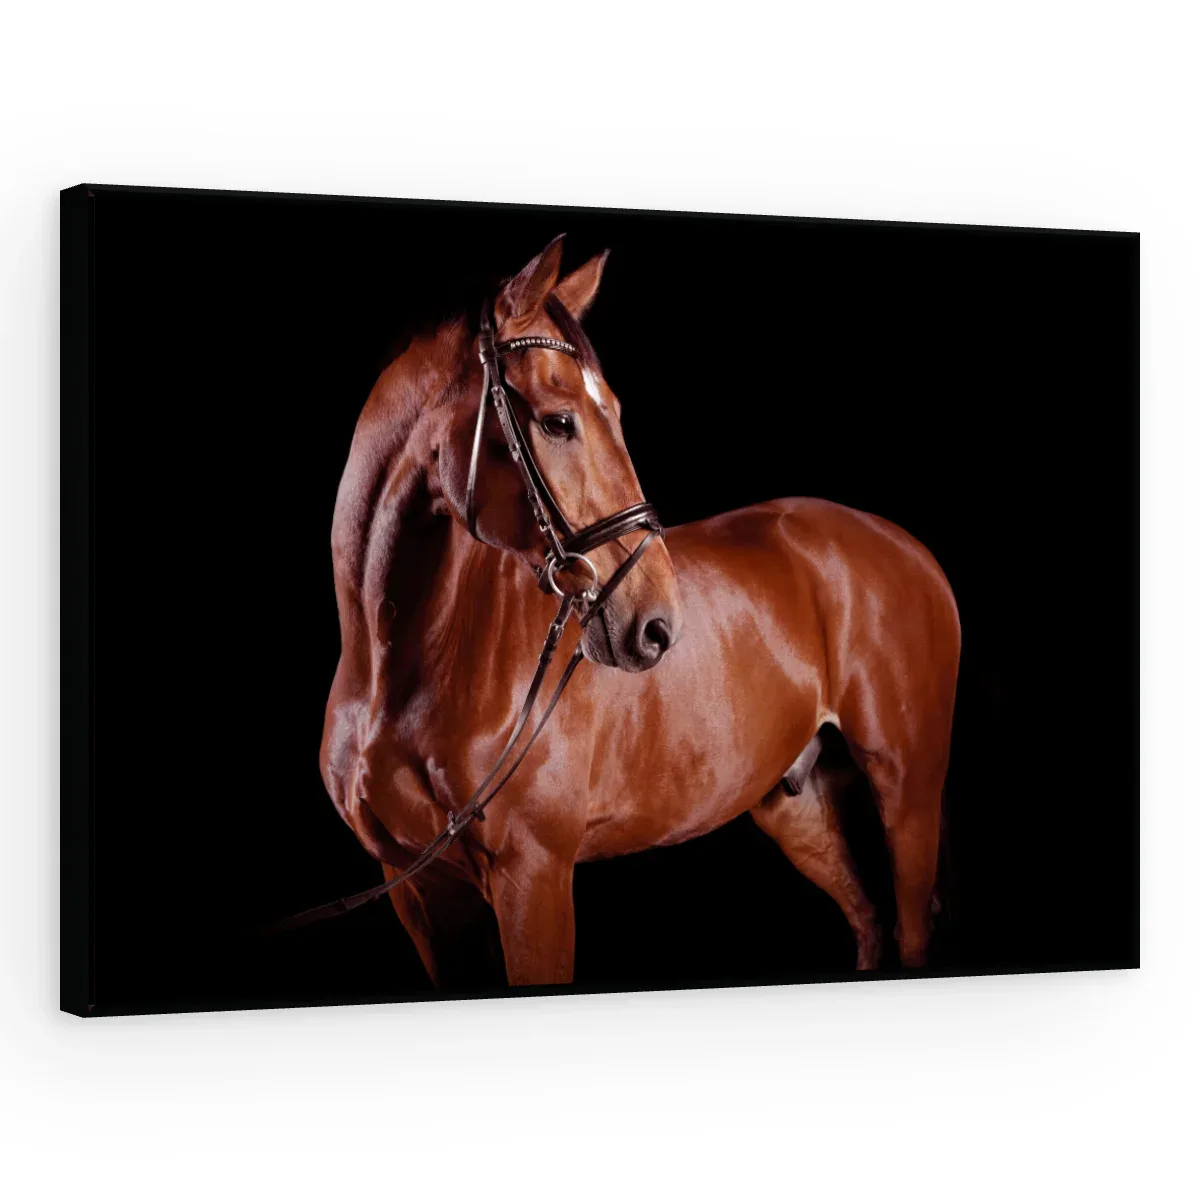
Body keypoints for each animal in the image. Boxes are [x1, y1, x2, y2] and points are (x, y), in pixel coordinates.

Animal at [318, 235, 961, 987]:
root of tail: (905, 545)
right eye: (558, 421)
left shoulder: (533, 877)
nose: (658, 625)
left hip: (908, 789)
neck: (400, 673)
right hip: (796, 805)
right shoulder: (418, 891)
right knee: (869, 923)